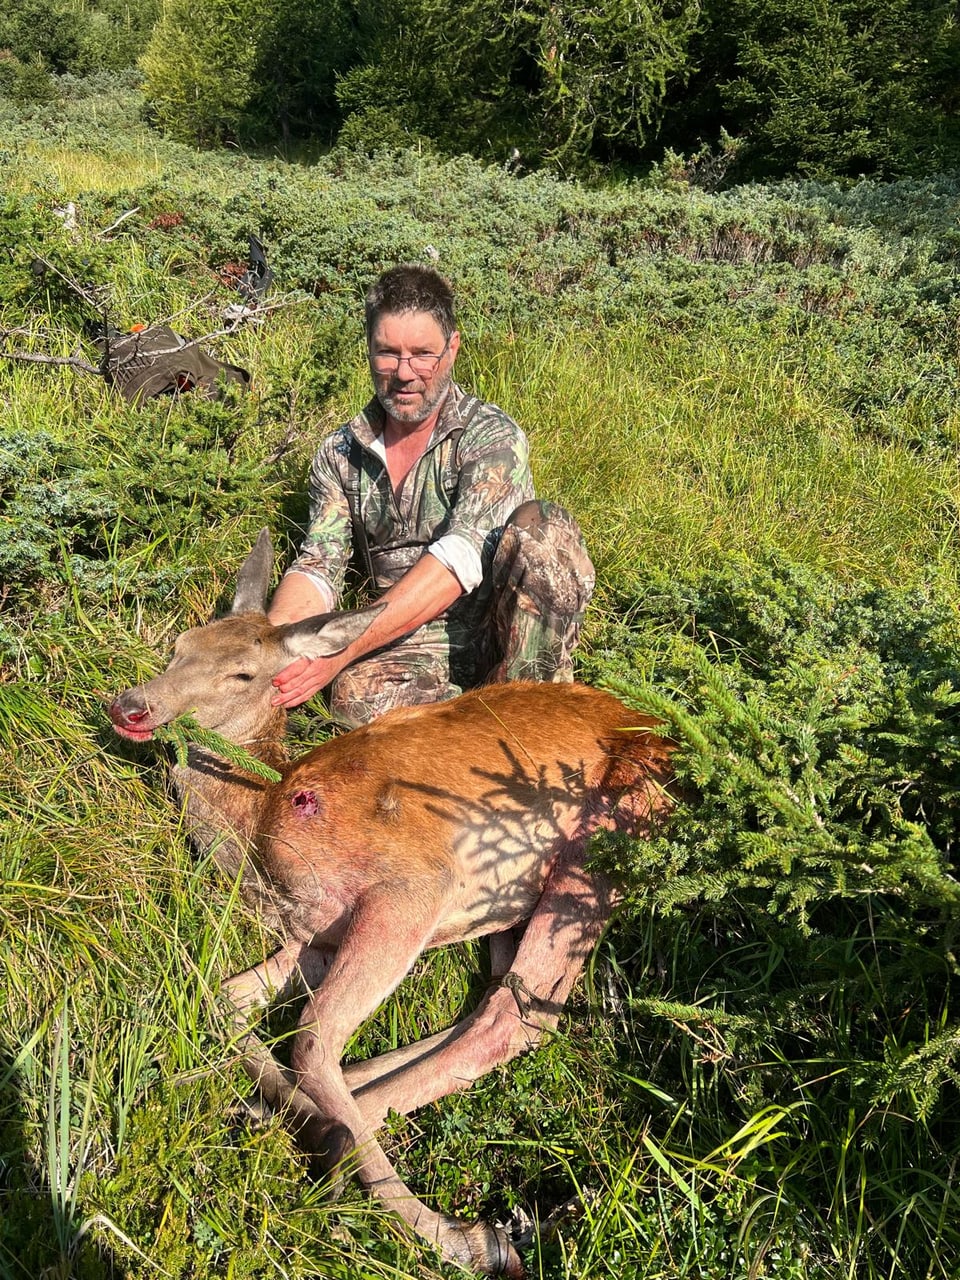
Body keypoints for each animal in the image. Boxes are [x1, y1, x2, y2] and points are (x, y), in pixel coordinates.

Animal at [106, 527, 675, 1269]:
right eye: (179, 645)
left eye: (243, 674)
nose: (130, 705)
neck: (263, 821)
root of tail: (669, 745)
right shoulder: (313, 934)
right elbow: (222, 997)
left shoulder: (414, 883)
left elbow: (312, 1036)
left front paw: (453, 1233)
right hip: (517, 900)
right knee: (493, 1001)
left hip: (606, 840)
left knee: (518, 1019)